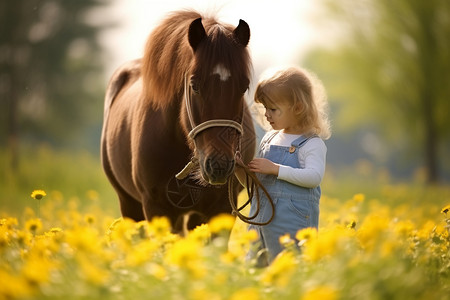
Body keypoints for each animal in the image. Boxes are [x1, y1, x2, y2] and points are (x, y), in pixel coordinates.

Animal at [103, 10, 256, 231]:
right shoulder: (156, 207)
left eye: (244, 86)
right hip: (129, 204)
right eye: (194, 85)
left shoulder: (223, 207)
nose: (219, 165)